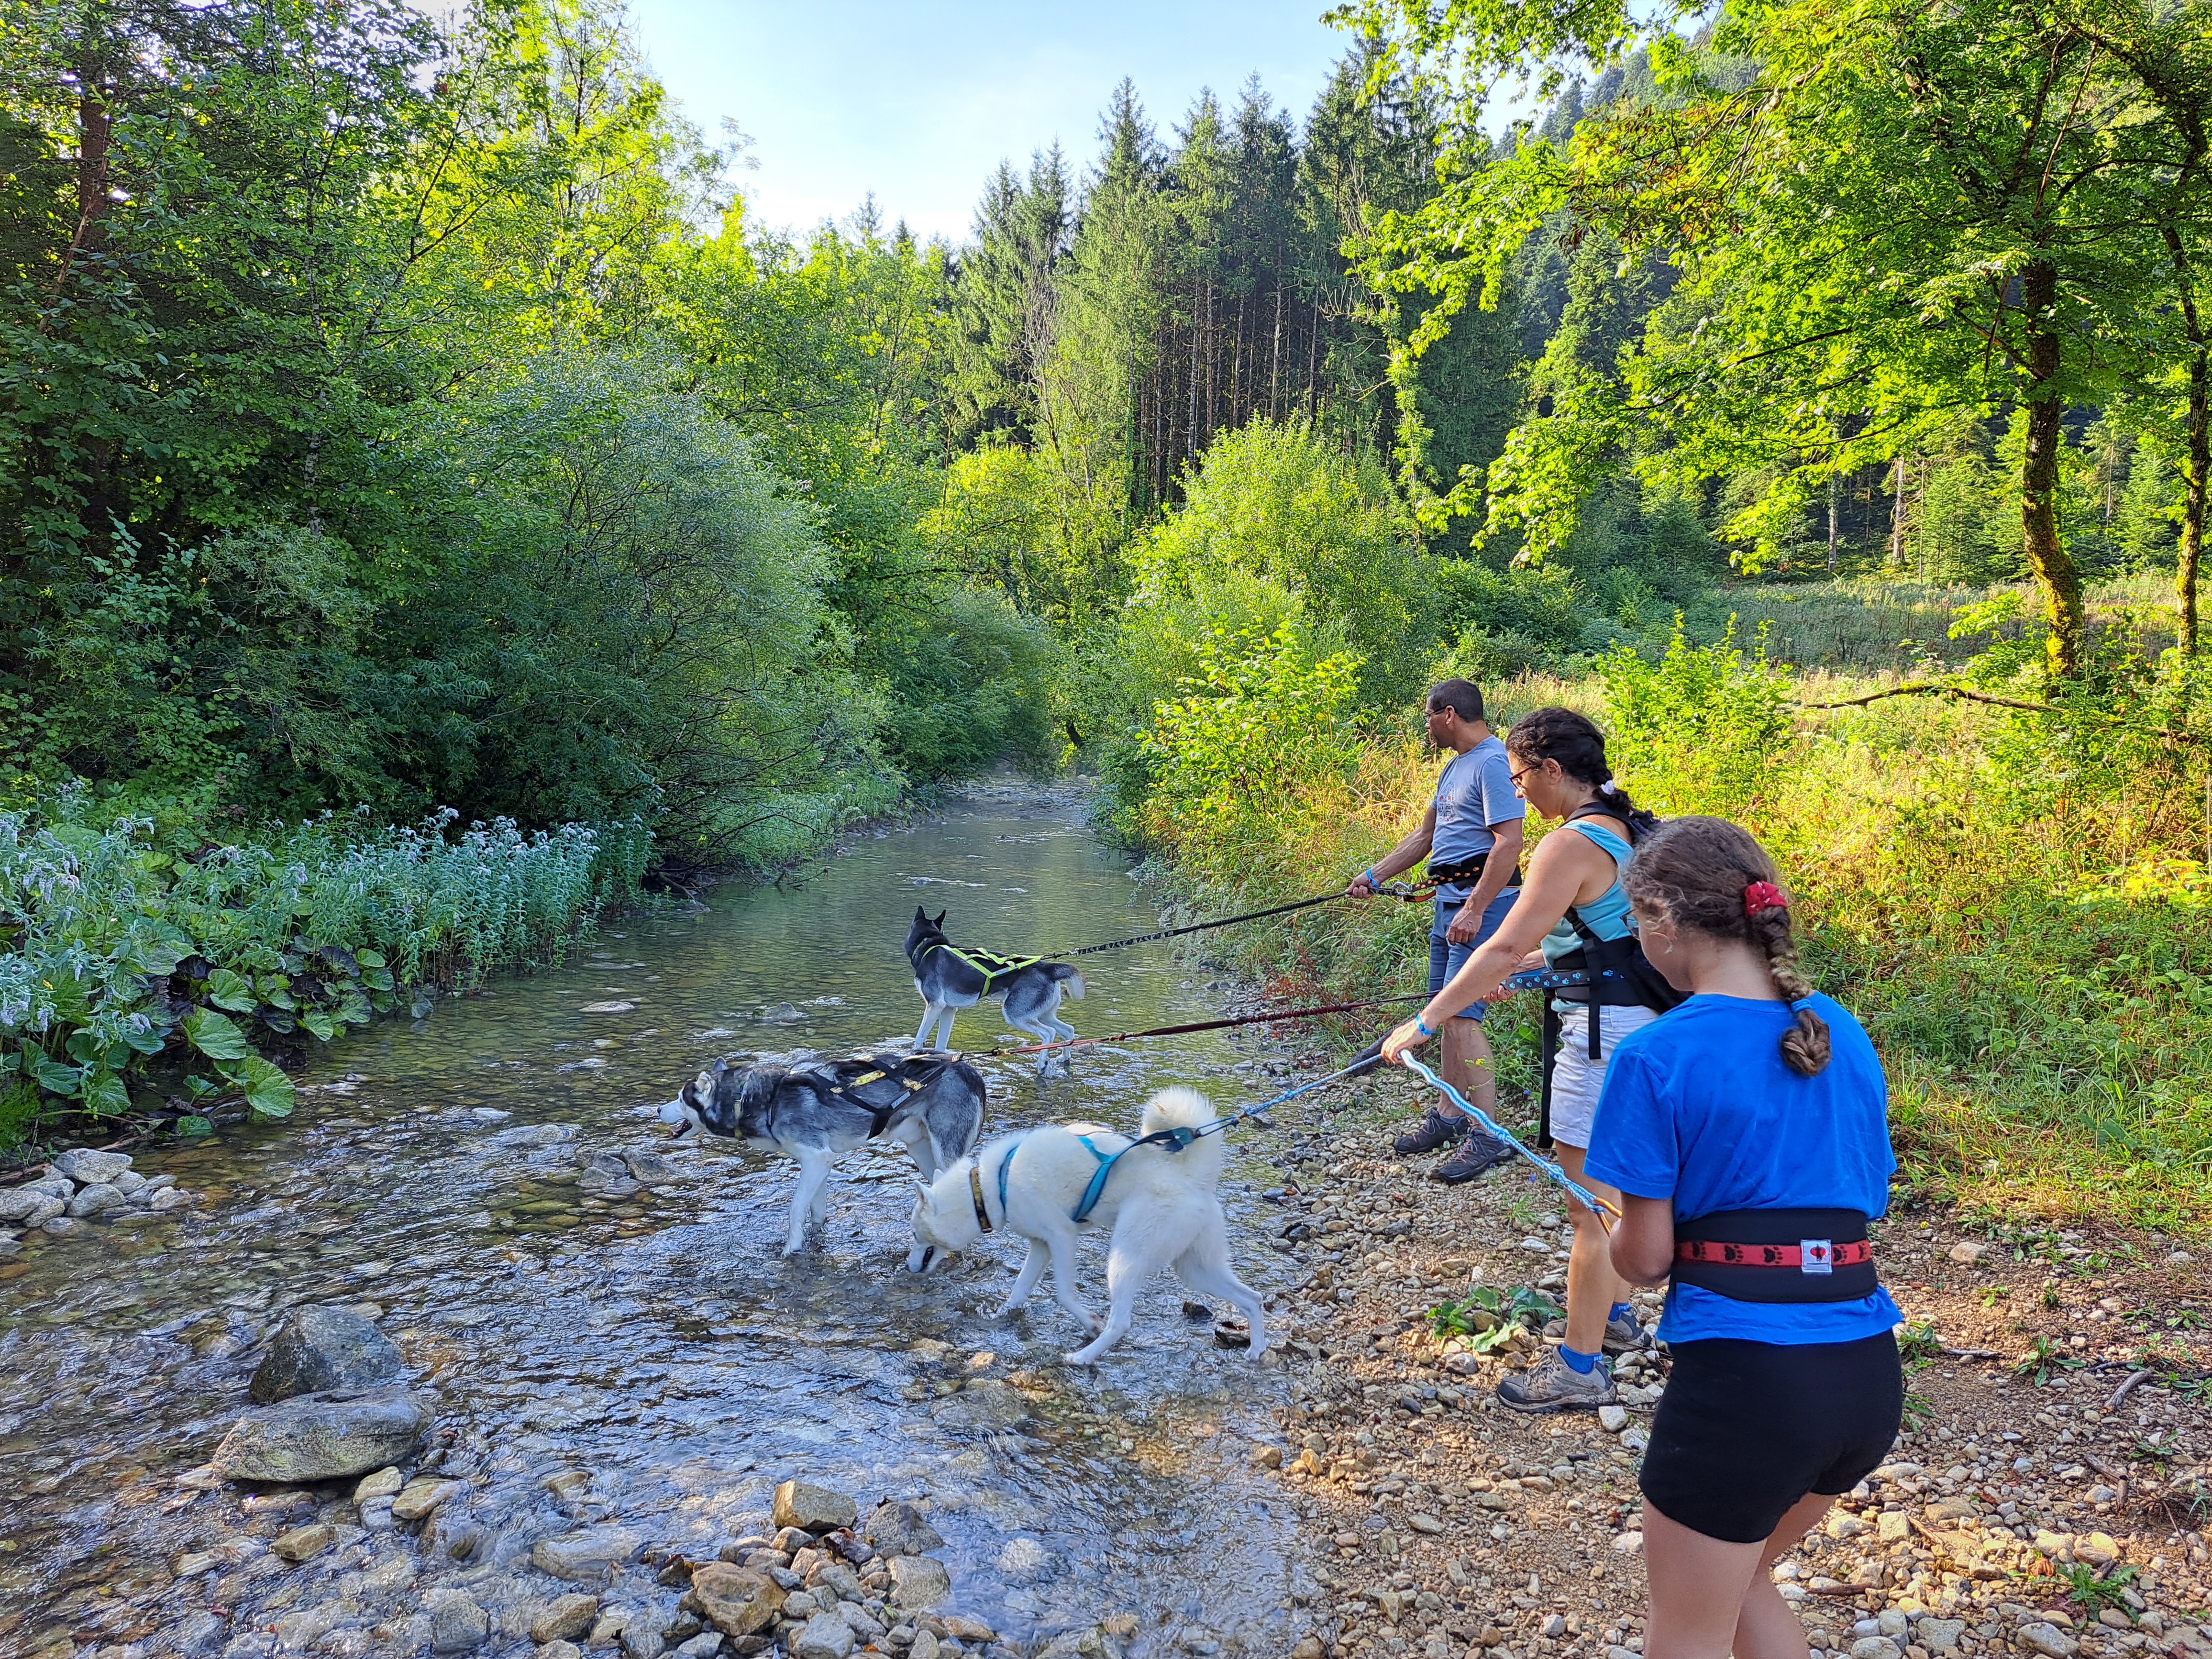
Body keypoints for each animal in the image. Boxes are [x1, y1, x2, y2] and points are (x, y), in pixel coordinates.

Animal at [902, 1093, 1283, 1362]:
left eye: (915, 1234)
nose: (907, 1268)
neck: (989, 1186)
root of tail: (1193, 1177)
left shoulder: (1061, 1239)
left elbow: (1064, 1295)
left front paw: (1088, 1322)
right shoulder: (1040, 1247)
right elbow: (1018, 1291)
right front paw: (1001, 1316)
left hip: (1125, 1258)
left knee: (1122, 1323)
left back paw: (1083, 1357)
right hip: (1195, 1269)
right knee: (1252, 1299)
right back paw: (1256, 1350)